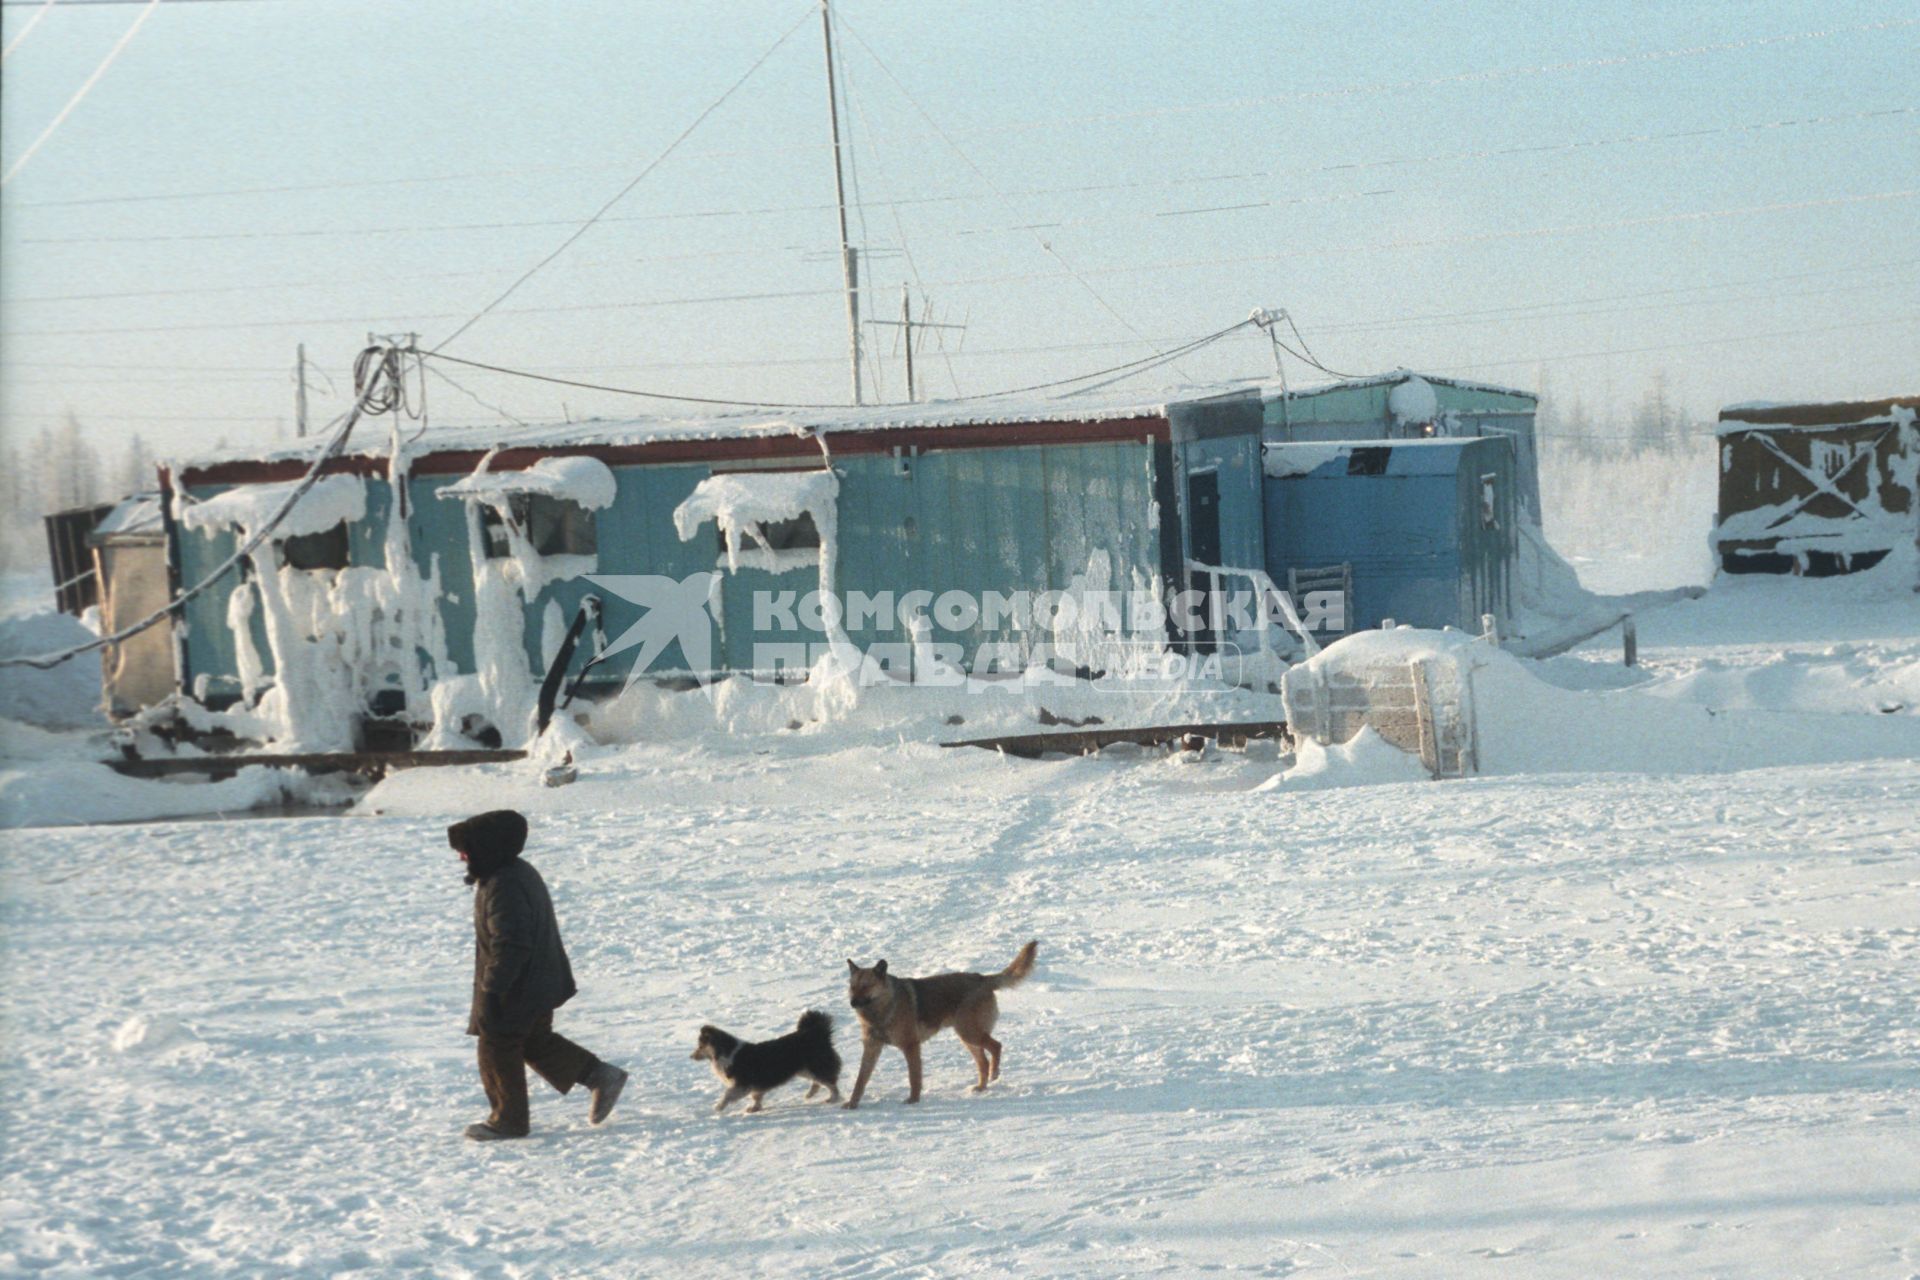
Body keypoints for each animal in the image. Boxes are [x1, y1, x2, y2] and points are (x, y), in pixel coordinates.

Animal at [691, 1013, 840, 1113]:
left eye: (700, 1047)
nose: (691, 1056)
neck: (724, 1052)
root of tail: (817, 1033)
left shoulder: (741, 1084)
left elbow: (727, 1094)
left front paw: (718, 1107)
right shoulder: (753, 1086)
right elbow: (756, 1097)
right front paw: (754, 1108)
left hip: (814, 1067)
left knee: (830, 1083)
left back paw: (833, 1099)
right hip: (805, 1069)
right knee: (819, 1082)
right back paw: (810, 1094)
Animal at [848, 940, 1044, 1113]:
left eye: (866, 986)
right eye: (852, 987)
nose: (852, 1003)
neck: (882, 1008)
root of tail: (982, 978)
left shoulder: (911, 1046)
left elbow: (914, 1078)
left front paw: (913, 1101)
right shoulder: (871, 1048)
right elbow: (860, 1080)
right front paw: (851, 1104)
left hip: (969, 1033)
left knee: (996, 1046)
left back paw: (994, 1073)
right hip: (967, 1037)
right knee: (984, 1061)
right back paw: (982, 1087)